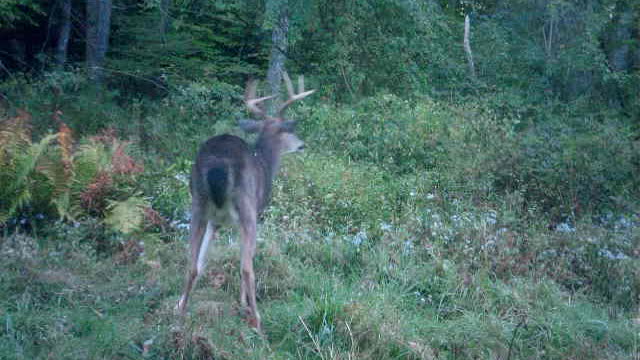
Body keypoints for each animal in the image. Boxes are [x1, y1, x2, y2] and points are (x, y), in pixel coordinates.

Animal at [175, 73, 316, 332]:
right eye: (290, 131)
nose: (303, 144)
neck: (265, 162)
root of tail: (218, 163)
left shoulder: (215, 222)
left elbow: (202, 261)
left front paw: (180, 302)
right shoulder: (254, 213)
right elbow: (245, 260)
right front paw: (243, 304)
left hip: (198, 203)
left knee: (190, 263)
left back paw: (181, 312)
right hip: (247, 206)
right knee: (247, 268)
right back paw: (258, 321)